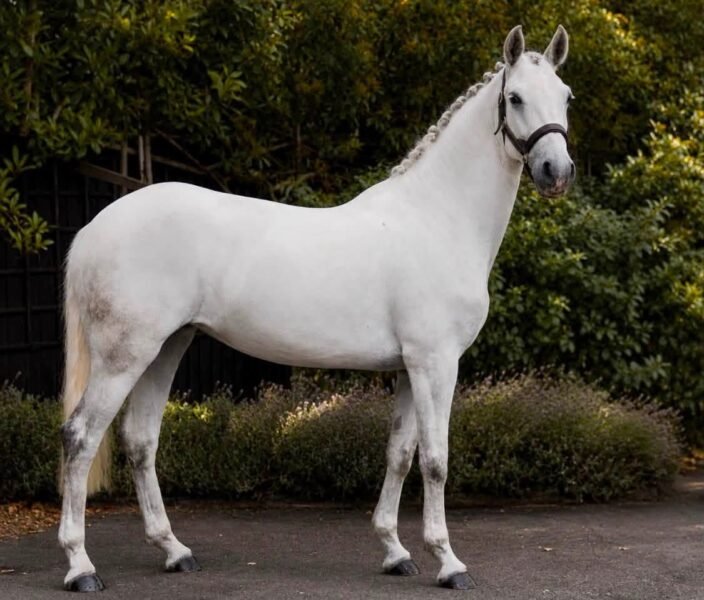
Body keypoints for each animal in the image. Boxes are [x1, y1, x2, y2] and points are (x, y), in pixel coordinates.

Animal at [58, 25, 575, 592]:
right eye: (515, 97)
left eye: (566, 96)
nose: (556, 171)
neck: (437, 218)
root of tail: (94, 227)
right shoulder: (436, 364)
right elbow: (436, 460)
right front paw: (448, 562)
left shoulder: (408, 368)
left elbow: (399, 454)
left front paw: (395, 553)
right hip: (124, 357)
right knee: (81, 437)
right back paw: (80, 566)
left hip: (168, 346)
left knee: (140, 439)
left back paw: (174, 551)